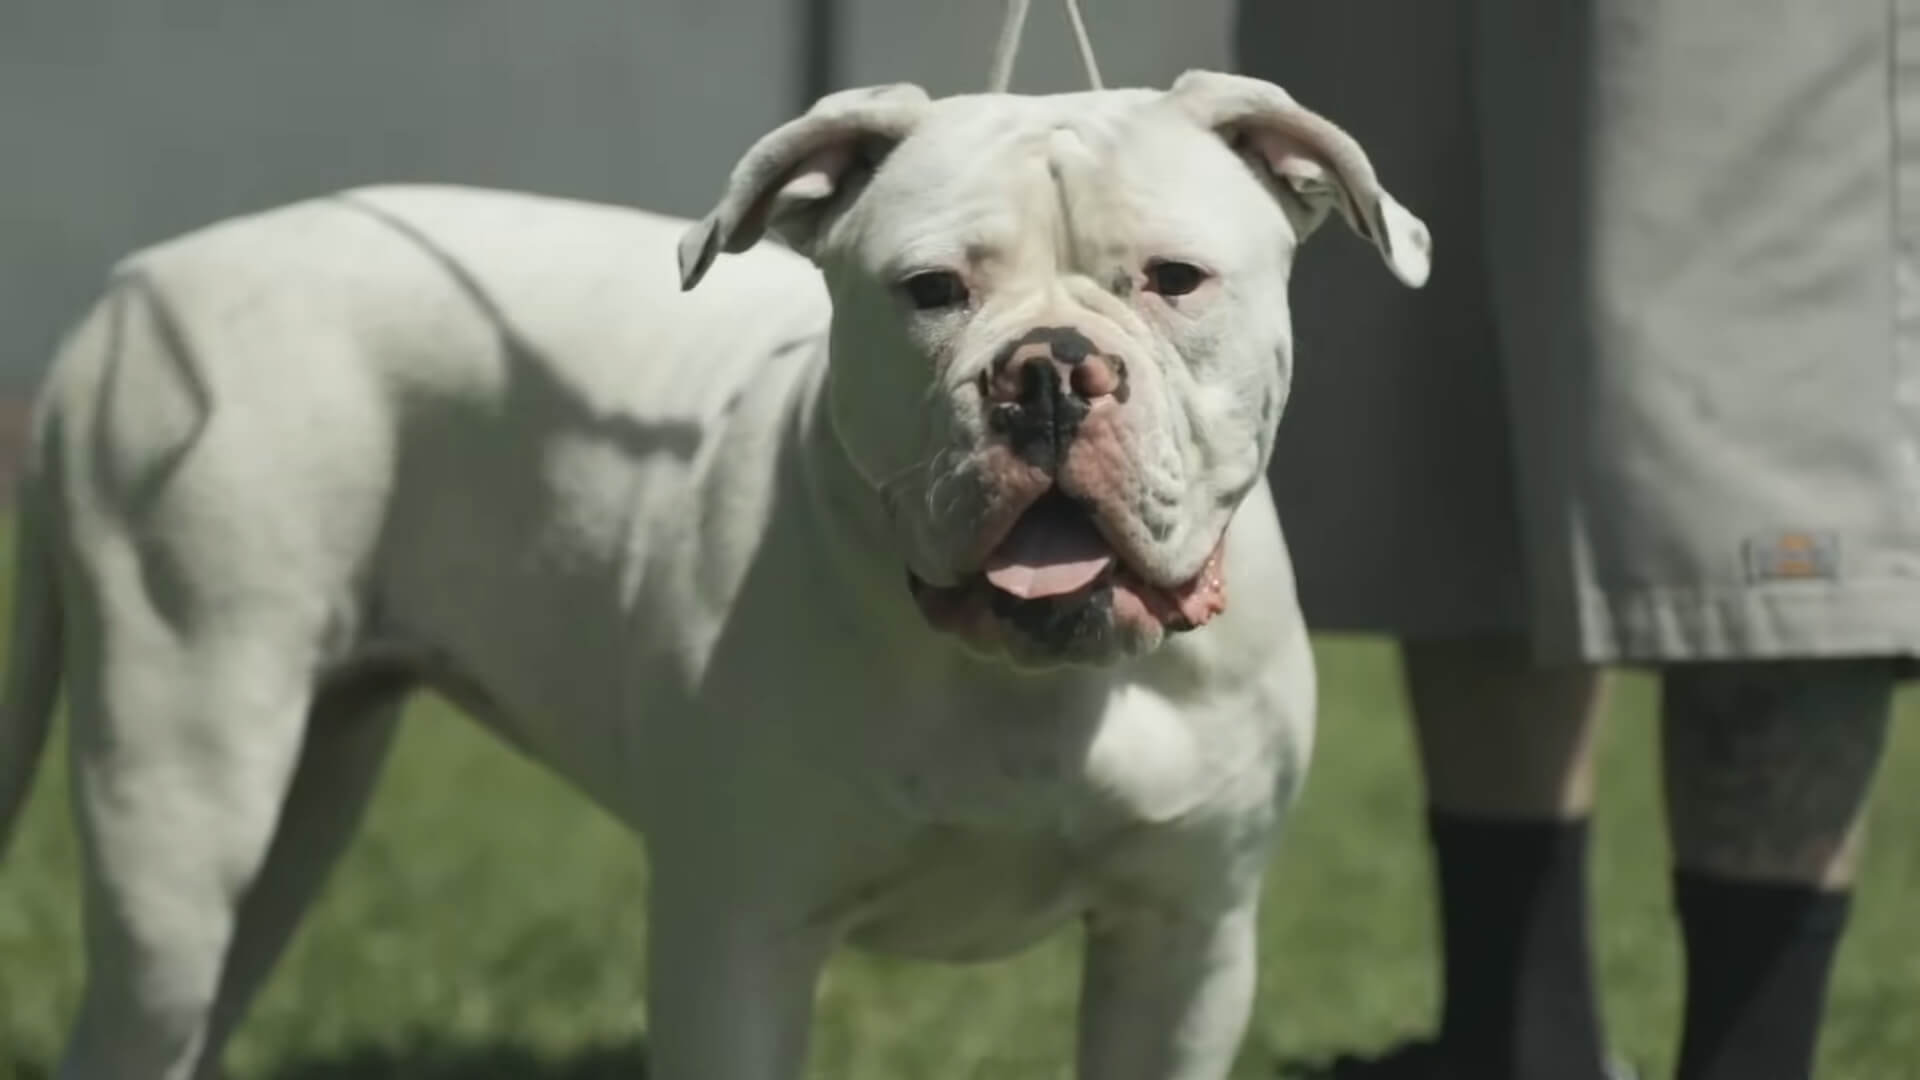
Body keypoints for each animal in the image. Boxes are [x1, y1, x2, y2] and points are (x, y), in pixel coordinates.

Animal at [0, 69, 1420, 1076]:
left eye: (1177, 279)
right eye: (930, 290)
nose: (1051, 372)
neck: (1032, 682)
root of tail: (132, 294)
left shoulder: (1184, 950)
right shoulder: (738, 942)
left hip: (305, 797)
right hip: (182, 798)